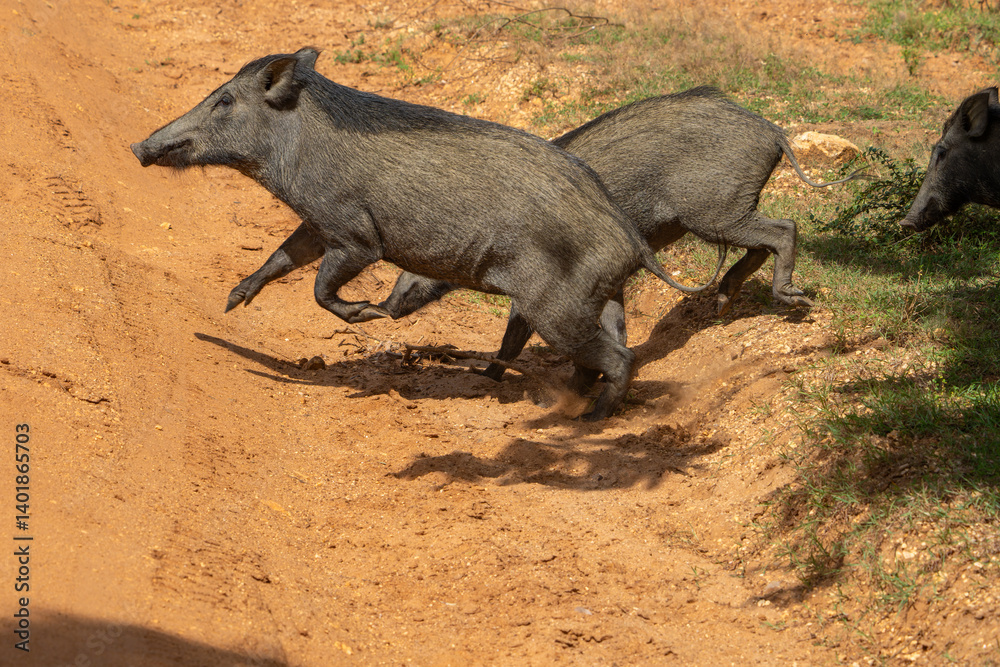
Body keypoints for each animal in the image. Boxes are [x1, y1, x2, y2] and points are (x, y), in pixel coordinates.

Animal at [131, 47, 687, 421]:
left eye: (224, 100)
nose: (137, 147)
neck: (295, 146)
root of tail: (629, 240)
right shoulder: (318, 226)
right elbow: (281, 258)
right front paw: (232, 302)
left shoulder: (355, 236)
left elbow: (320, 290)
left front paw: (370, 313)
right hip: (603, 299)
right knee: (609, 351)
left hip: (557, 310)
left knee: (618, 359)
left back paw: (589, 417)